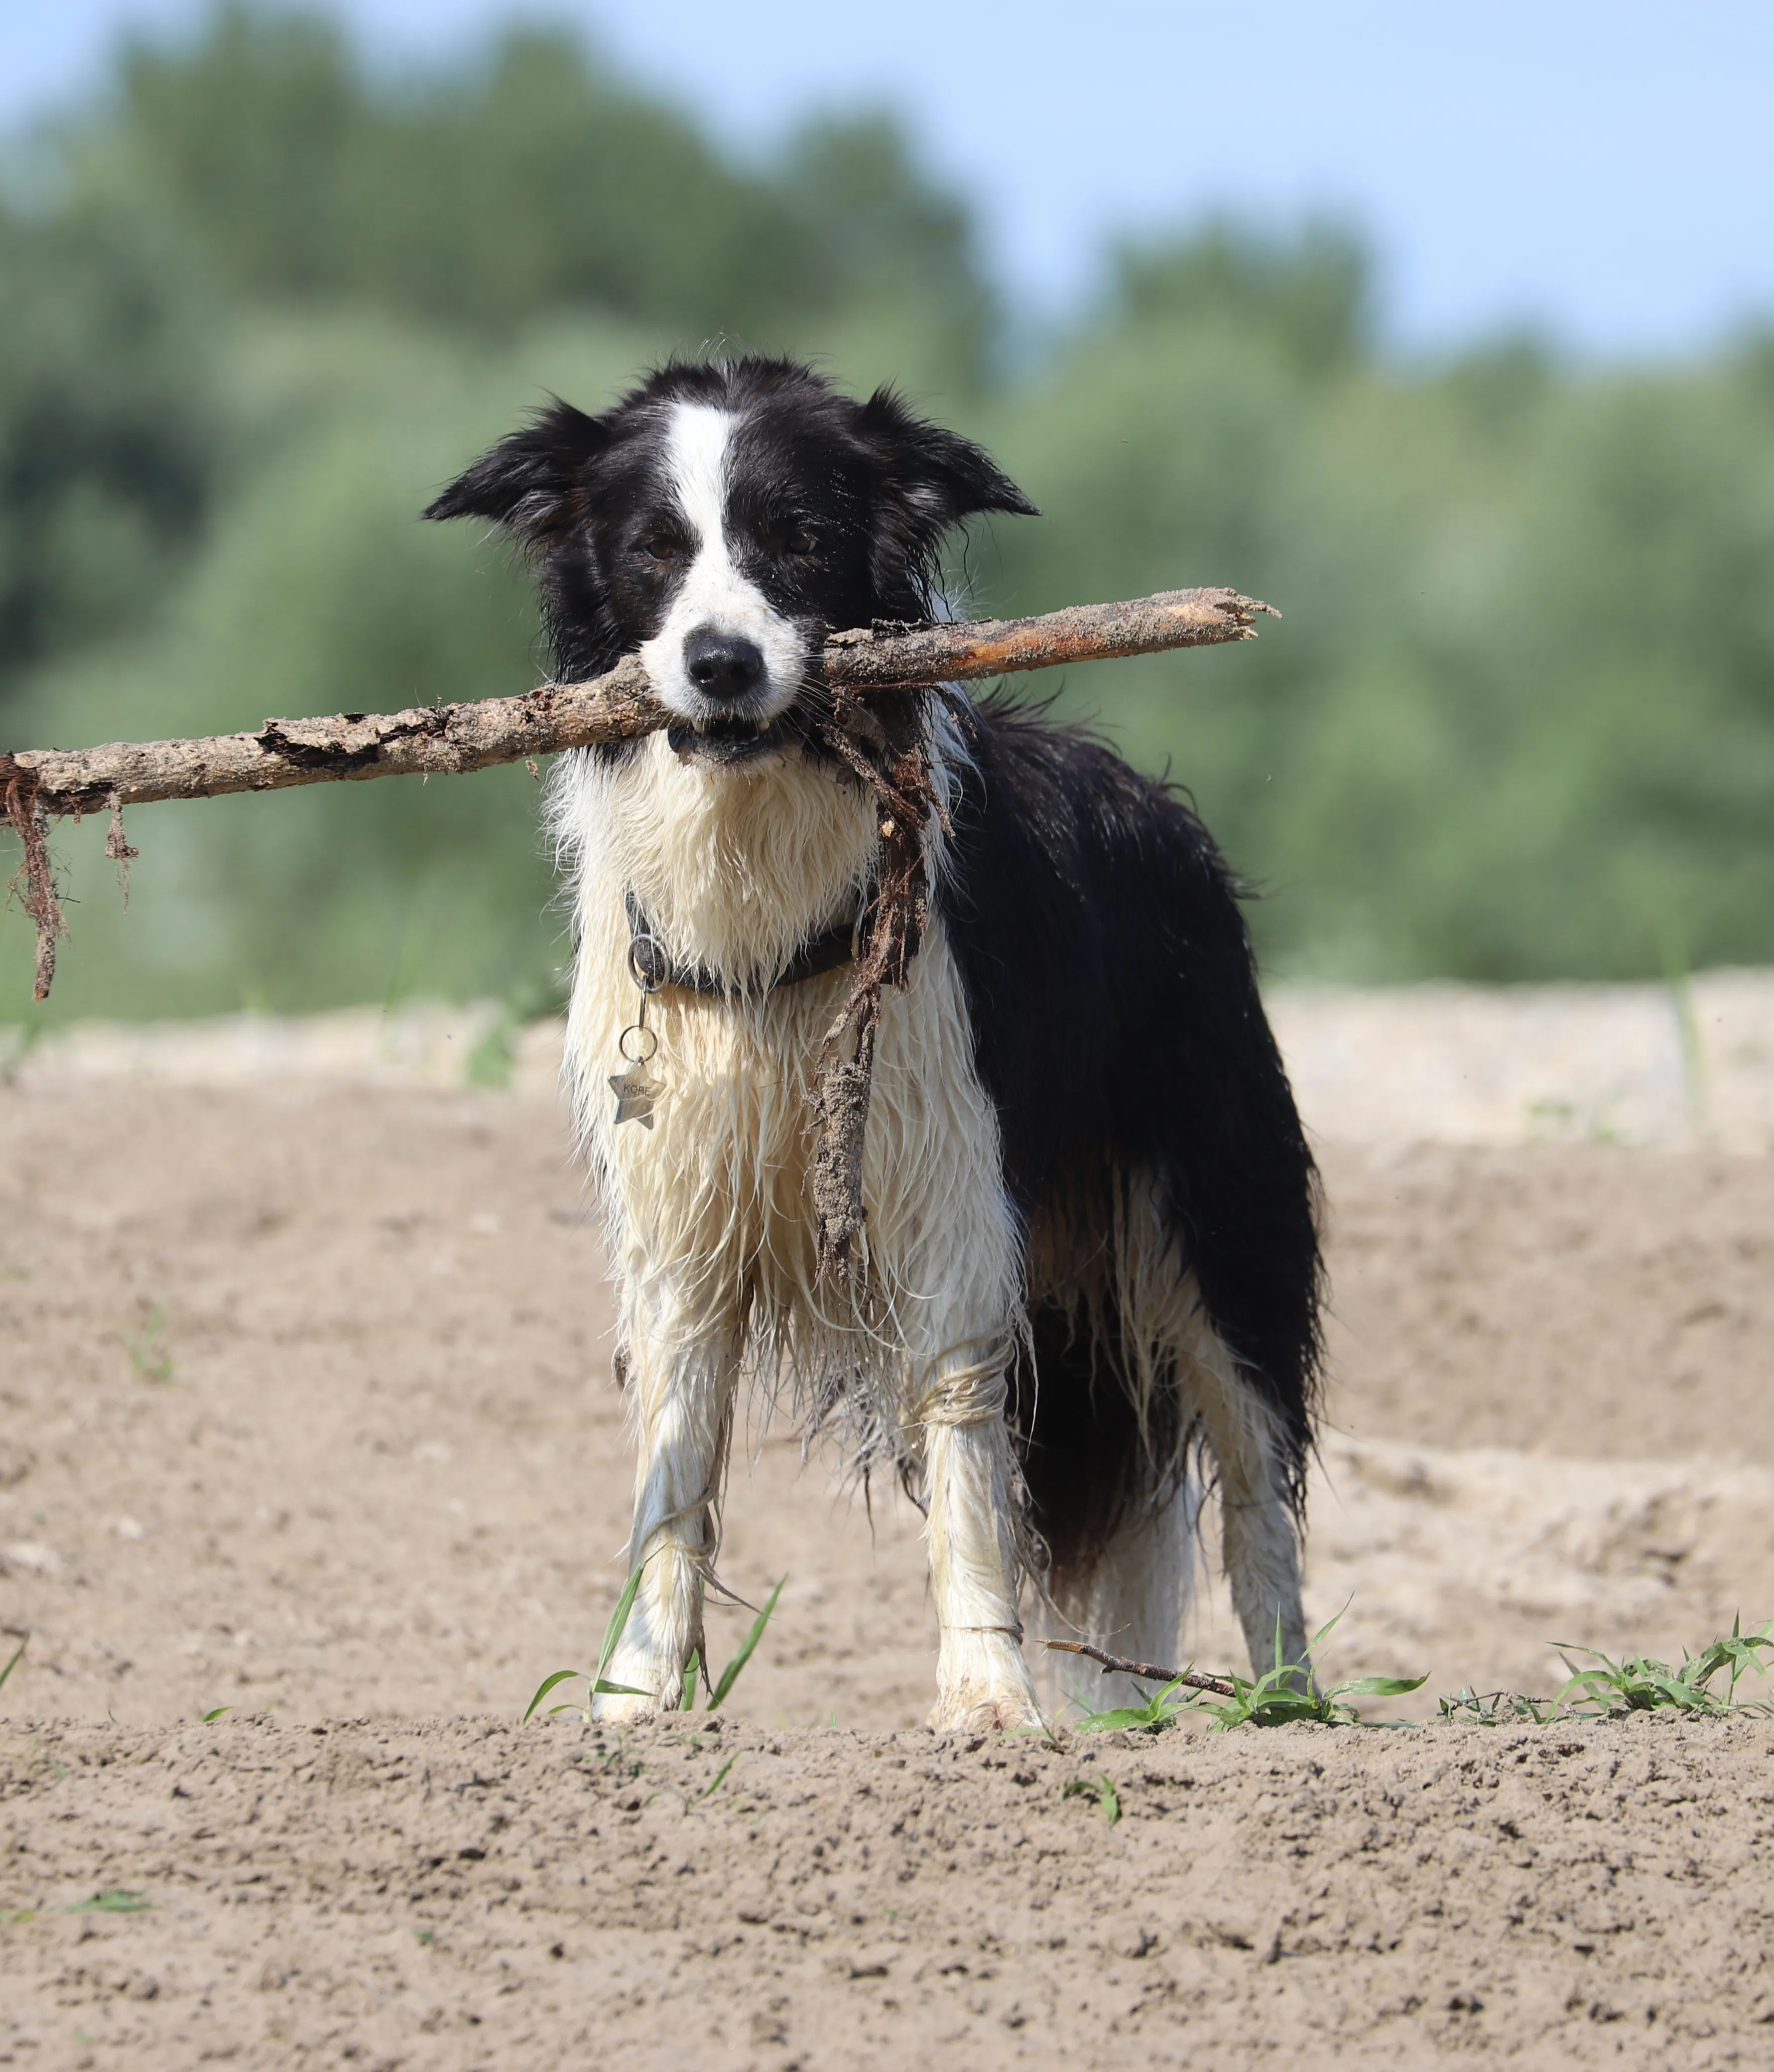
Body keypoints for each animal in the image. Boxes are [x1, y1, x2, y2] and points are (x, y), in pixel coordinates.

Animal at [427, 360, 1318, 1732]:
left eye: (796, 538)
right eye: (652, 551)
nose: (721, 663)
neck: (759, 913)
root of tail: (1157, 807)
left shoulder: (942, 1177)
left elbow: (963, 1440)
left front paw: (986, 1695)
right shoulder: (680, 1202)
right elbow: (674, 1460)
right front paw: (633, 1701)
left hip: (1220, 1201)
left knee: (1252, 1470)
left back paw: (1285, 1710)